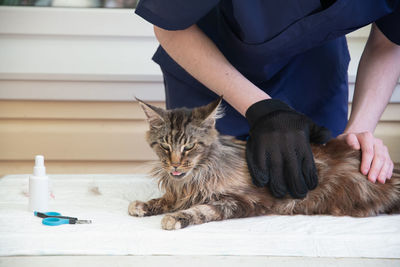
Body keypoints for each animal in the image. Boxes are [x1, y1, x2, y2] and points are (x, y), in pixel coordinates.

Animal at [129, 98, 400, 230]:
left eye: (189, 147)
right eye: (165, 146)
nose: (175, 165)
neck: (194, 178)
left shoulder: (243, 201)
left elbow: (202, 209)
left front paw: (176, 217)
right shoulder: (179, 191)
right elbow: (166, 199)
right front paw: (144, 205)